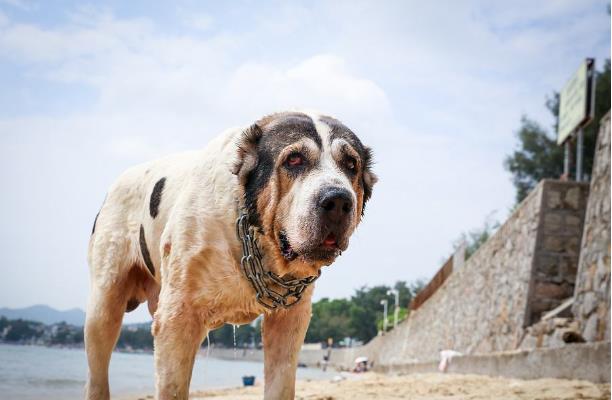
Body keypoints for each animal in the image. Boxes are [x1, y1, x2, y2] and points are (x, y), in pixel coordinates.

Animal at [83, 110, 376, 400]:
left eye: (351, 165)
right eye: (294, 159)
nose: (338, 200)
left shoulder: (290, 321)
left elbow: (281, 383)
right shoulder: (176, 320)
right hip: (104, 303)